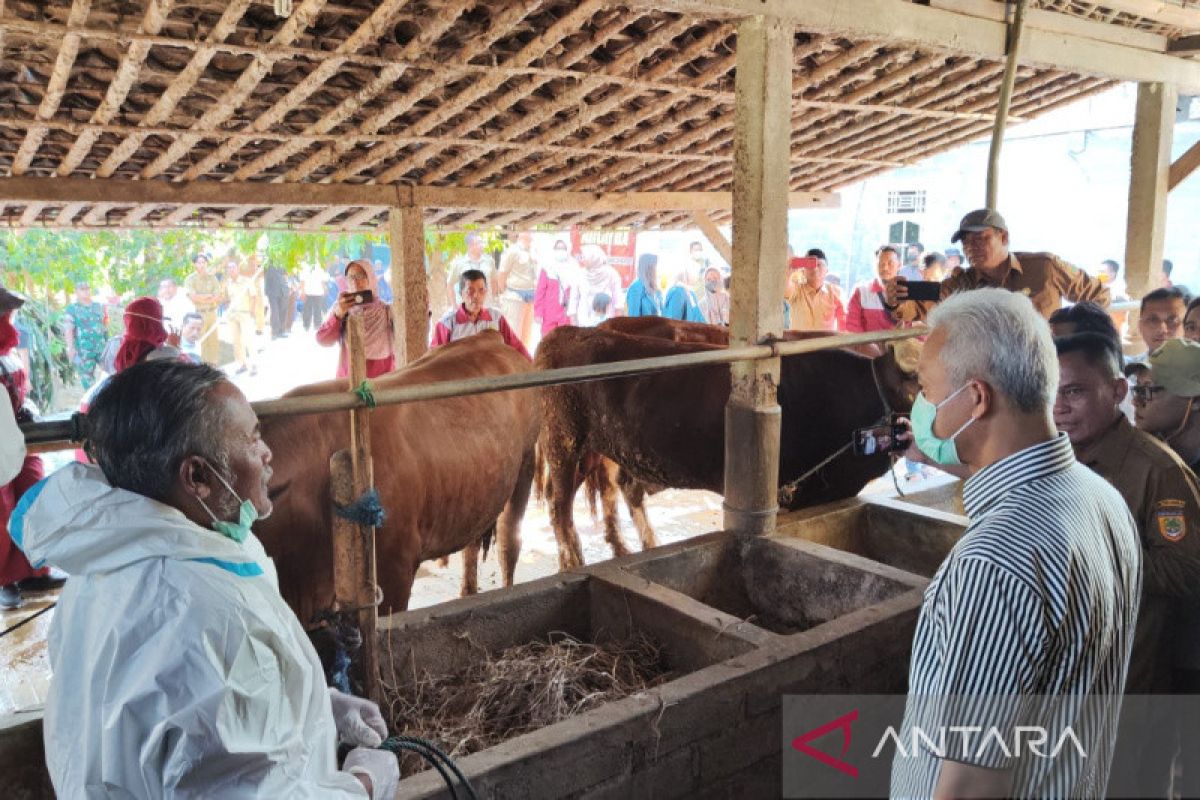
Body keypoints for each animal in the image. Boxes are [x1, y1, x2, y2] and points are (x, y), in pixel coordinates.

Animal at [535, 323, 916, 568]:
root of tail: (565, 332)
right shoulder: (791, 493)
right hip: (565, 443)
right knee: (560, 507)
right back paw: (573, 562)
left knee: (619, 490)